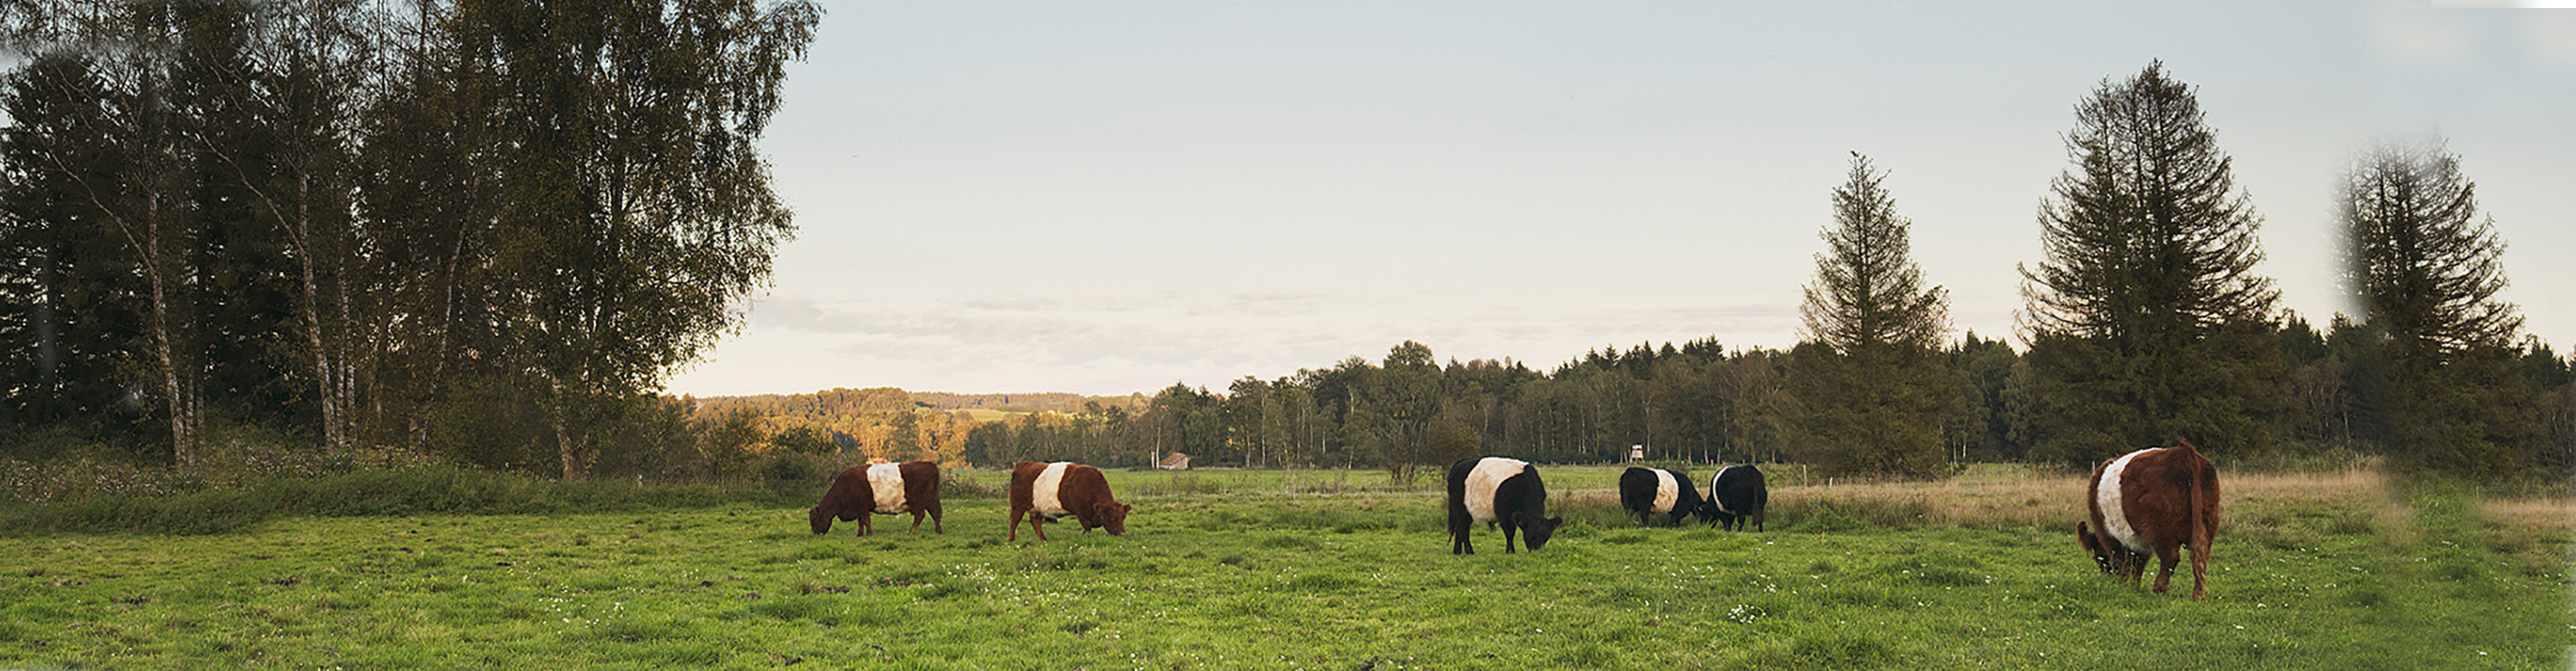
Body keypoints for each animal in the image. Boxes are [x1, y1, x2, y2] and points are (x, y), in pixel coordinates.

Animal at [803, 464, 947, 537]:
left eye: (815, 520)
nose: (815, 533)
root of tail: (930, 465)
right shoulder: (860, 509)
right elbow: (861, 522)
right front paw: (860, 534)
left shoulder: (862, 507)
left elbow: (866, 521)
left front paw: (869, 534)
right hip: (932, 500)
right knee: (936, 514)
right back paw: (938, 531)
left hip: (920, 501)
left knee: (921, 515)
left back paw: (911, 532)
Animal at [1004, 462, 1128, 539]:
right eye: (1112, 518)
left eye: (1123, 517)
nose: (1121, 533)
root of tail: (1021, 465)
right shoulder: (1080, 512)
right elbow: (1087, 527)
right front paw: (1084, 537)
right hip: (1018, 505)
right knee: (1014, 520)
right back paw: (1011, 540)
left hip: (1036, 507)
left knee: (1035, 522)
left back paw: (1043, 540)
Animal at [2071, 438, 2215, 601]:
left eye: (2098, 558)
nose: (2108, 579)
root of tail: (2182, 452)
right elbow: (2138, 564)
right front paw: (2134, 586)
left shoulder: (2112, 538)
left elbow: (2125, 562)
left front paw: (2126, 585)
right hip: (2207, 525)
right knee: (2200, 558)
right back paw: (2198, 596)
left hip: (2160, 530)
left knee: (2170, 558)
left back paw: (2159, 589)